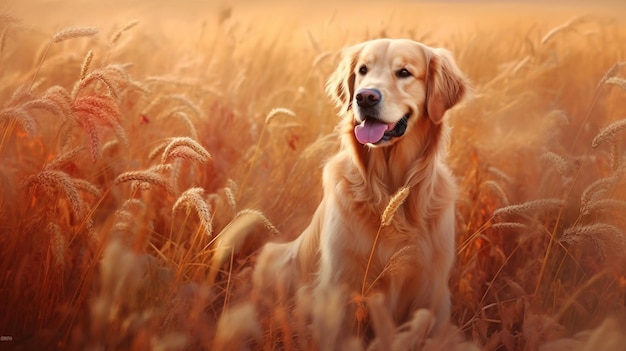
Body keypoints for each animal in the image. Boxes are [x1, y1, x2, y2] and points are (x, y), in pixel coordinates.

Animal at [251, 38, 466, 346]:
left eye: (404, 72)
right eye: (363, 70)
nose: (365, 97)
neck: (389, 191)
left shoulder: (432, 292)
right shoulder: (338, 287)